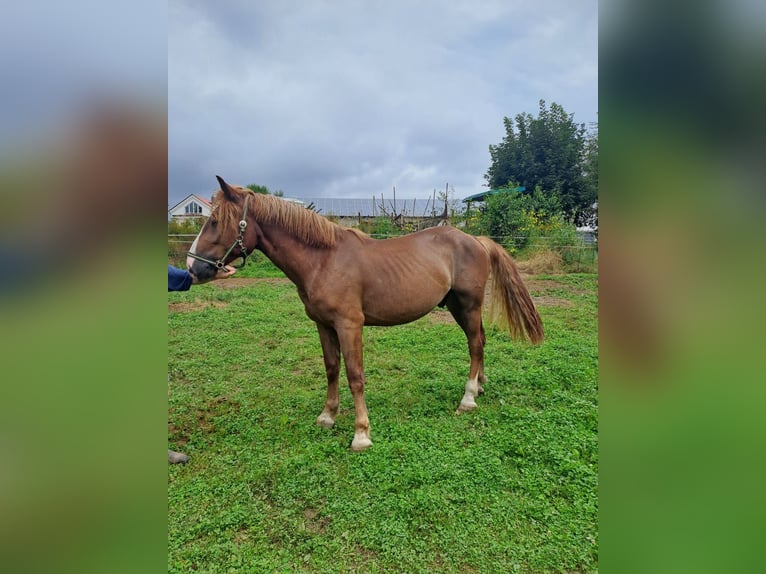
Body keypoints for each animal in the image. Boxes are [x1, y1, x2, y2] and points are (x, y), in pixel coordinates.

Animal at [188, 178, 544, 452]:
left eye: (216, 222)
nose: (193, 267)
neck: (323, 260)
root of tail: (477, 240)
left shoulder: (350, 325)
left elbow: (355, 376)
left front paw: (361, 434)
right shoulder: (323, 325)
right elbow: (332, 369)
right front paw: (328, 416)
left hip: (468, 305)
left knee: (475, 345)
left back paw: (468, 398)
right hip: (458, 307)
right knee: (480, 341)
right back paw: (480, 387)